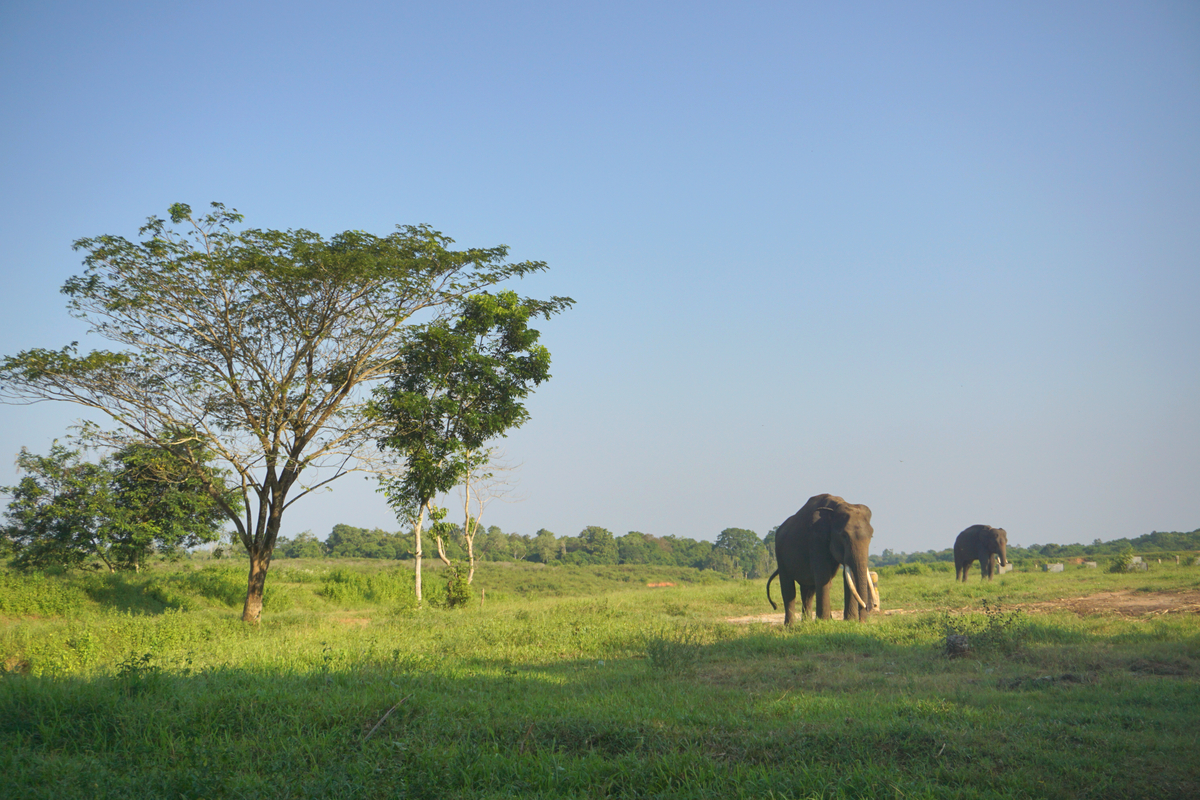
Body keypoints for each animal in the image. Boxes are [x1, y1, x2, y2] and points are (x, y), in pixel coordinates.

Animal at [766, 494, 877, 624]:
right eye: (844, 536)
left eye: (871, 536)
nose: (862, 620)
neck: (836, 506)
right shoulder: (816, 537)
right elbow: (823, 575)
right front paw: (824, 622)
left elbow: (848, 575)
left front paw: (849, 621)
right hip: (780, 553)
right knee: (788, 587)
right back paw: (791, 626)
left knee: (808, 590)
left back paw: (806, 623)